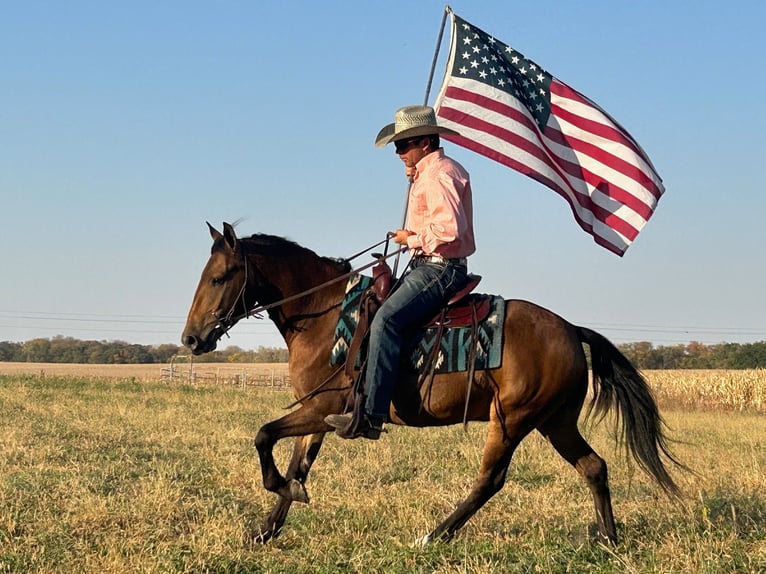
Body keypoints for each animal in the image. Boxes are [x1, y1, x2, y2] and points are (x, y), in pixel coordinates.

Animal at [182, 223, 684, 548]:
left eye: (219, 277)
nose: (191, 339)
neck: (324, 314)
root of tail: (570, 328)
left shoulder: (321, 407)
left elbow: (264, 435)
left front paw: (279, 497)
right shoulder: (319, 414)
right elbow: (296, 466)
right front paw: (266, 529)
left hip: (512, 420)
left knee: (490, 480)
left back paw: (434, 535)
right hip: (555, 422)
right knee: (594, 467)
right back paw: (608, 540)